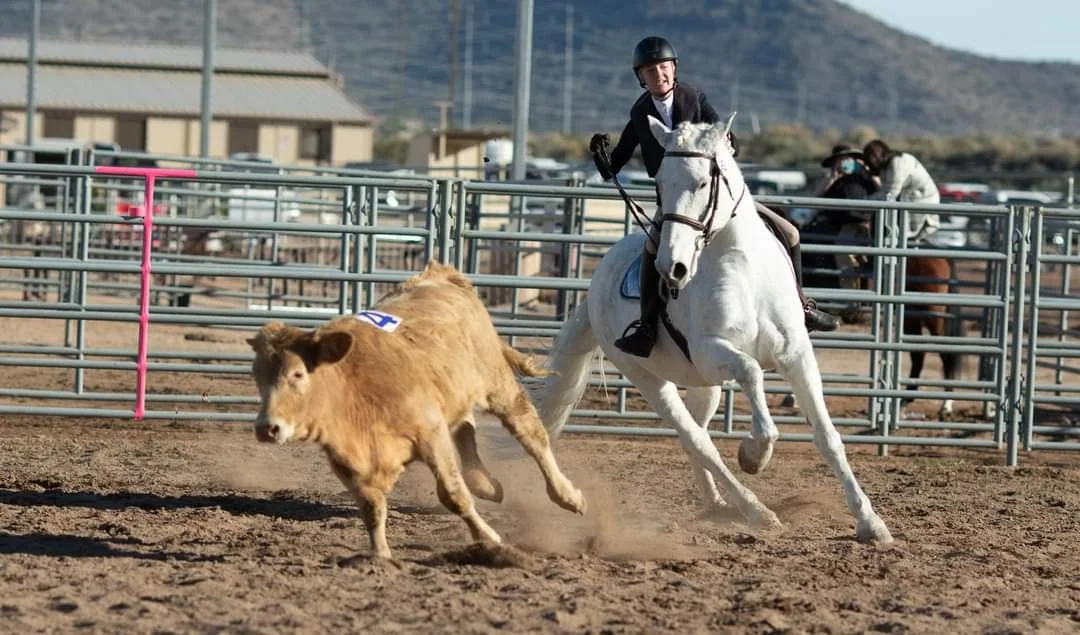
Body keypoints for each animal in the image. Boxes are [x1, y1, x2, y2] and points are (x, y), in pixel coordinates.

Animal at [246, 261, 586, 560]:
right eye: (257, 377)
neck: (353, 386)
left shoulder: (430, 434)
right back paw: (486, 484)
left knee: (530, 433)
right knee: (466, 427)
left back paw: (567, 495)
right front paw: (380, 554)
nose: (267, 428)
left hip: (496, 382)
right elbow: (371, 507)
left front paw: (489, 538)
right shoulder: (347, 459)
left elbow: (453, 494)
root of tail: (441, 275)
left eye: (297, 374)